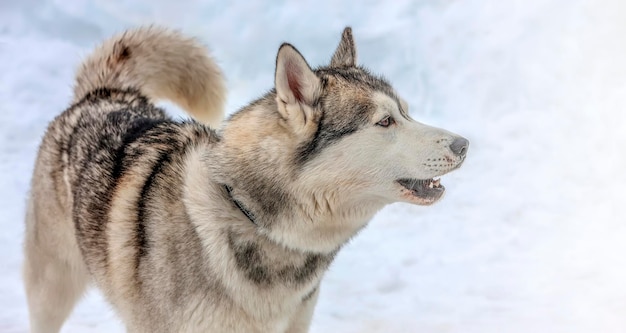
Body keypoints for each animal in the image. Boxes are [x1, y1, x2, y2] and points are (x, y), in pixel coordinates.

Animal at [22, 26, 466, 332]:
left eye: (405, 112)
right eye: (385, 122)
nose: (464, 145)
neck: (248, 213)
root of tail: (106, 94)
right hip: (50, 291)